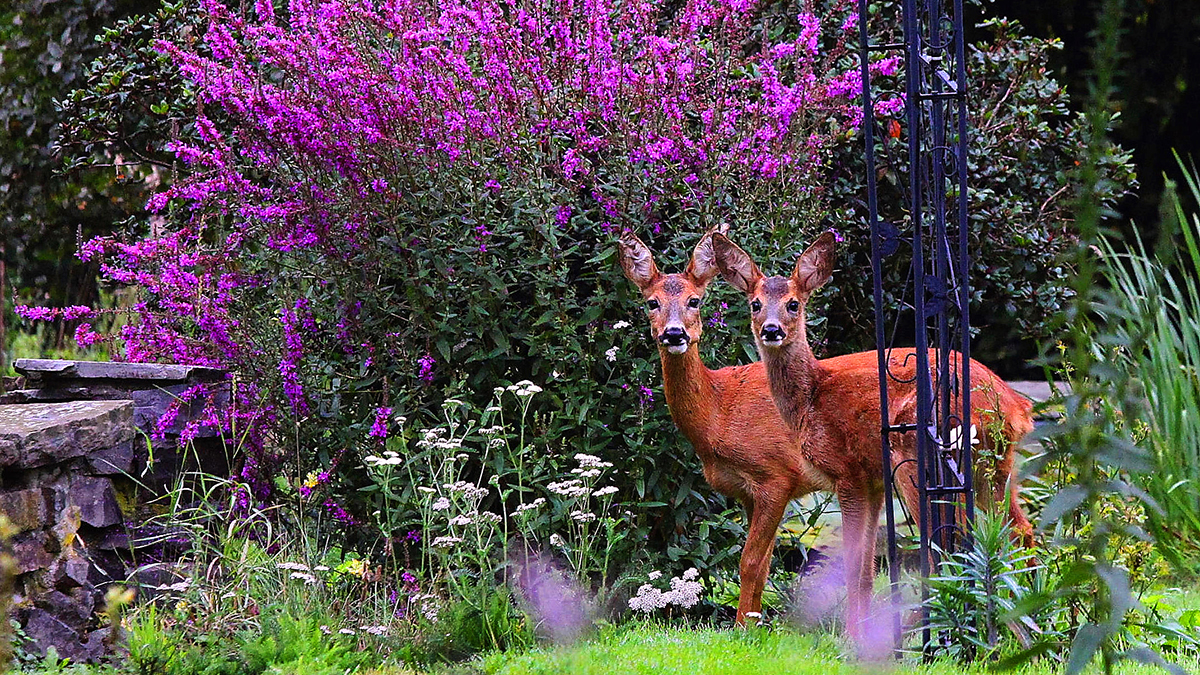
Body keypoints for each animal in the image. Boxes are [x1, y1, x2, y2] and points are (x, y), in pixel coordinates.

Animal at [705, 230, 1036, 634]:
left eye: (793, 304)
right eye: (755, 304)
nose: (771, 330)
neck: (811, 398)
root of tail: (1016, 406)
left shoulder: (847, 473)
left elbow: (853, 563)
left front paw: (852, 635)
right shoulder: (873, 481)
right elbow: (865, 567)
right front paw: (859, 630)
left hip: (922, 457)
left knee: (946, 544)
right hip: (996, 467)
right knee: (1018, 530)